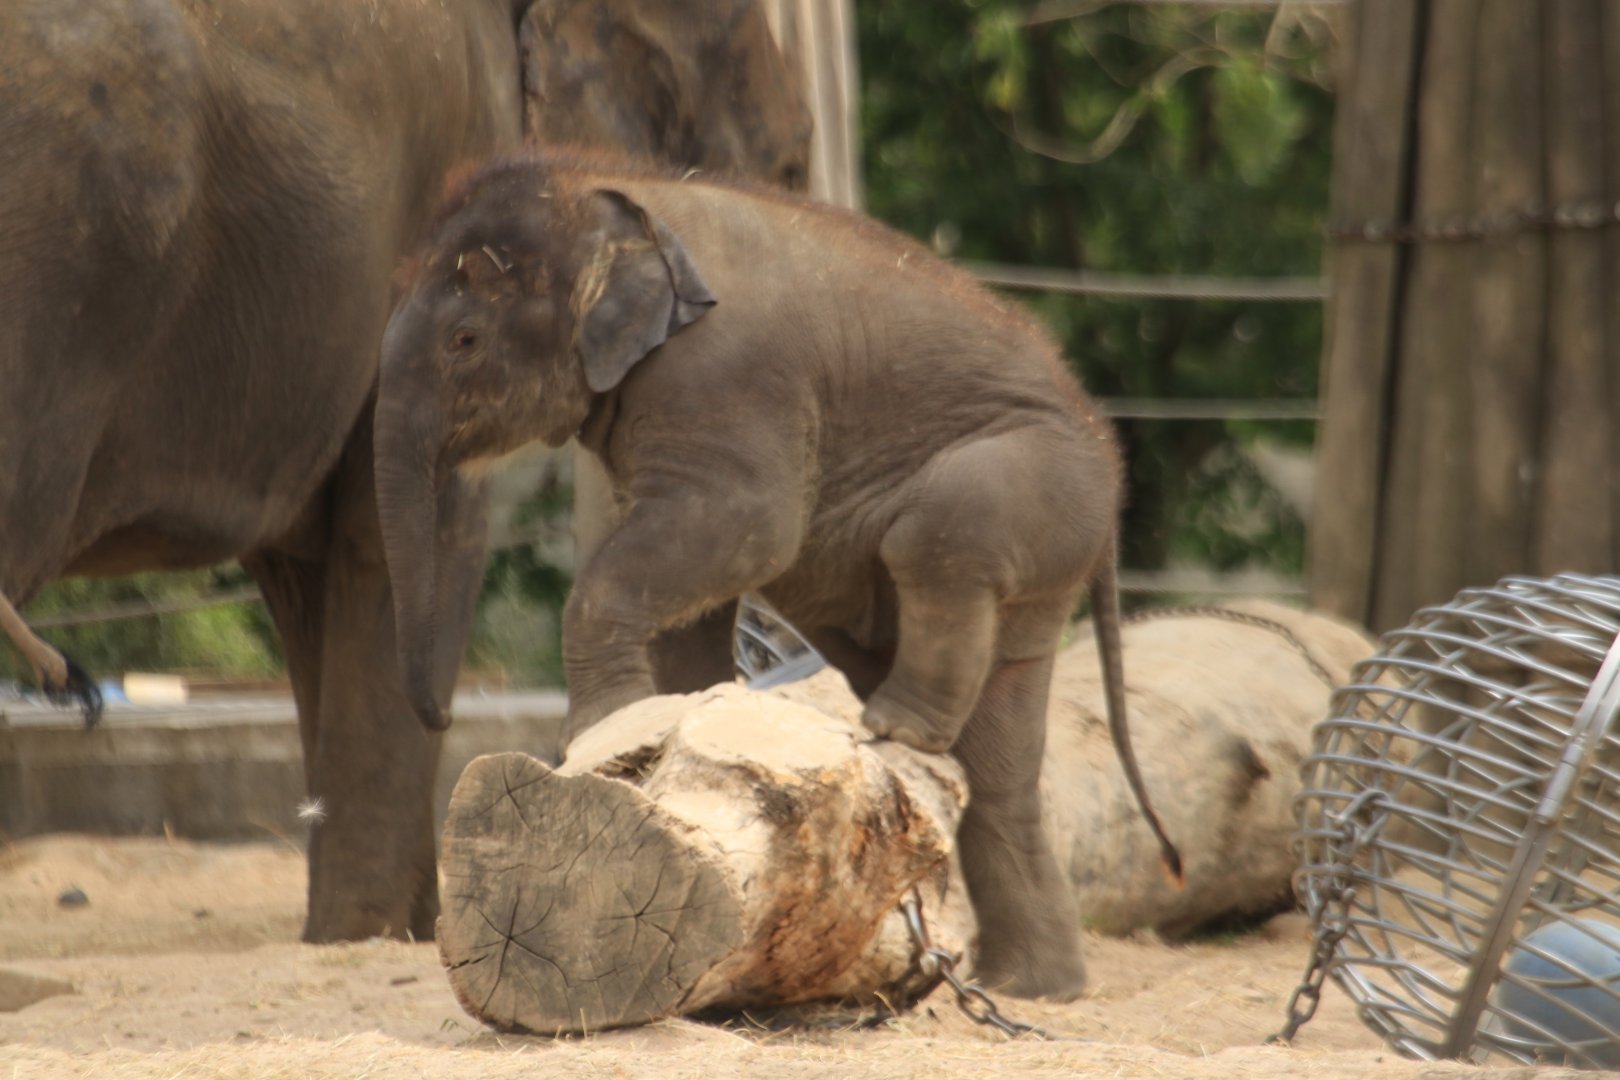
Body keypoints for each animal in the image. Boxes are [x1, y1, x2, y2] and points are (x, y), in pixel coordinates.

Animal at [0, 0, 809, 944]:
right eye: (788, 165)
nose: (460, 716)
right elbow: (403, 536)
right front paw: (376, 930)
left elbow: (316, 571)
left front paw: (359, 931)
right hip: (63, 266)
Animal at [374, 149, 1183, 999]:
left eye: (464, 339)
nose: (442, 717)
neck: (619, 196)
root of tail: (1111, 468)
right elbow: (688, 590)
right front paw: (676, 717)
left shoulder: (721, 374)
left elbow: (751, 528)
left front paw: (599, 729)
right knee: (997, 761)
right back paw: (1031, 985)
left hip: (1035, 482)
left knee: (934, 541)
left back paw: (896, 731)